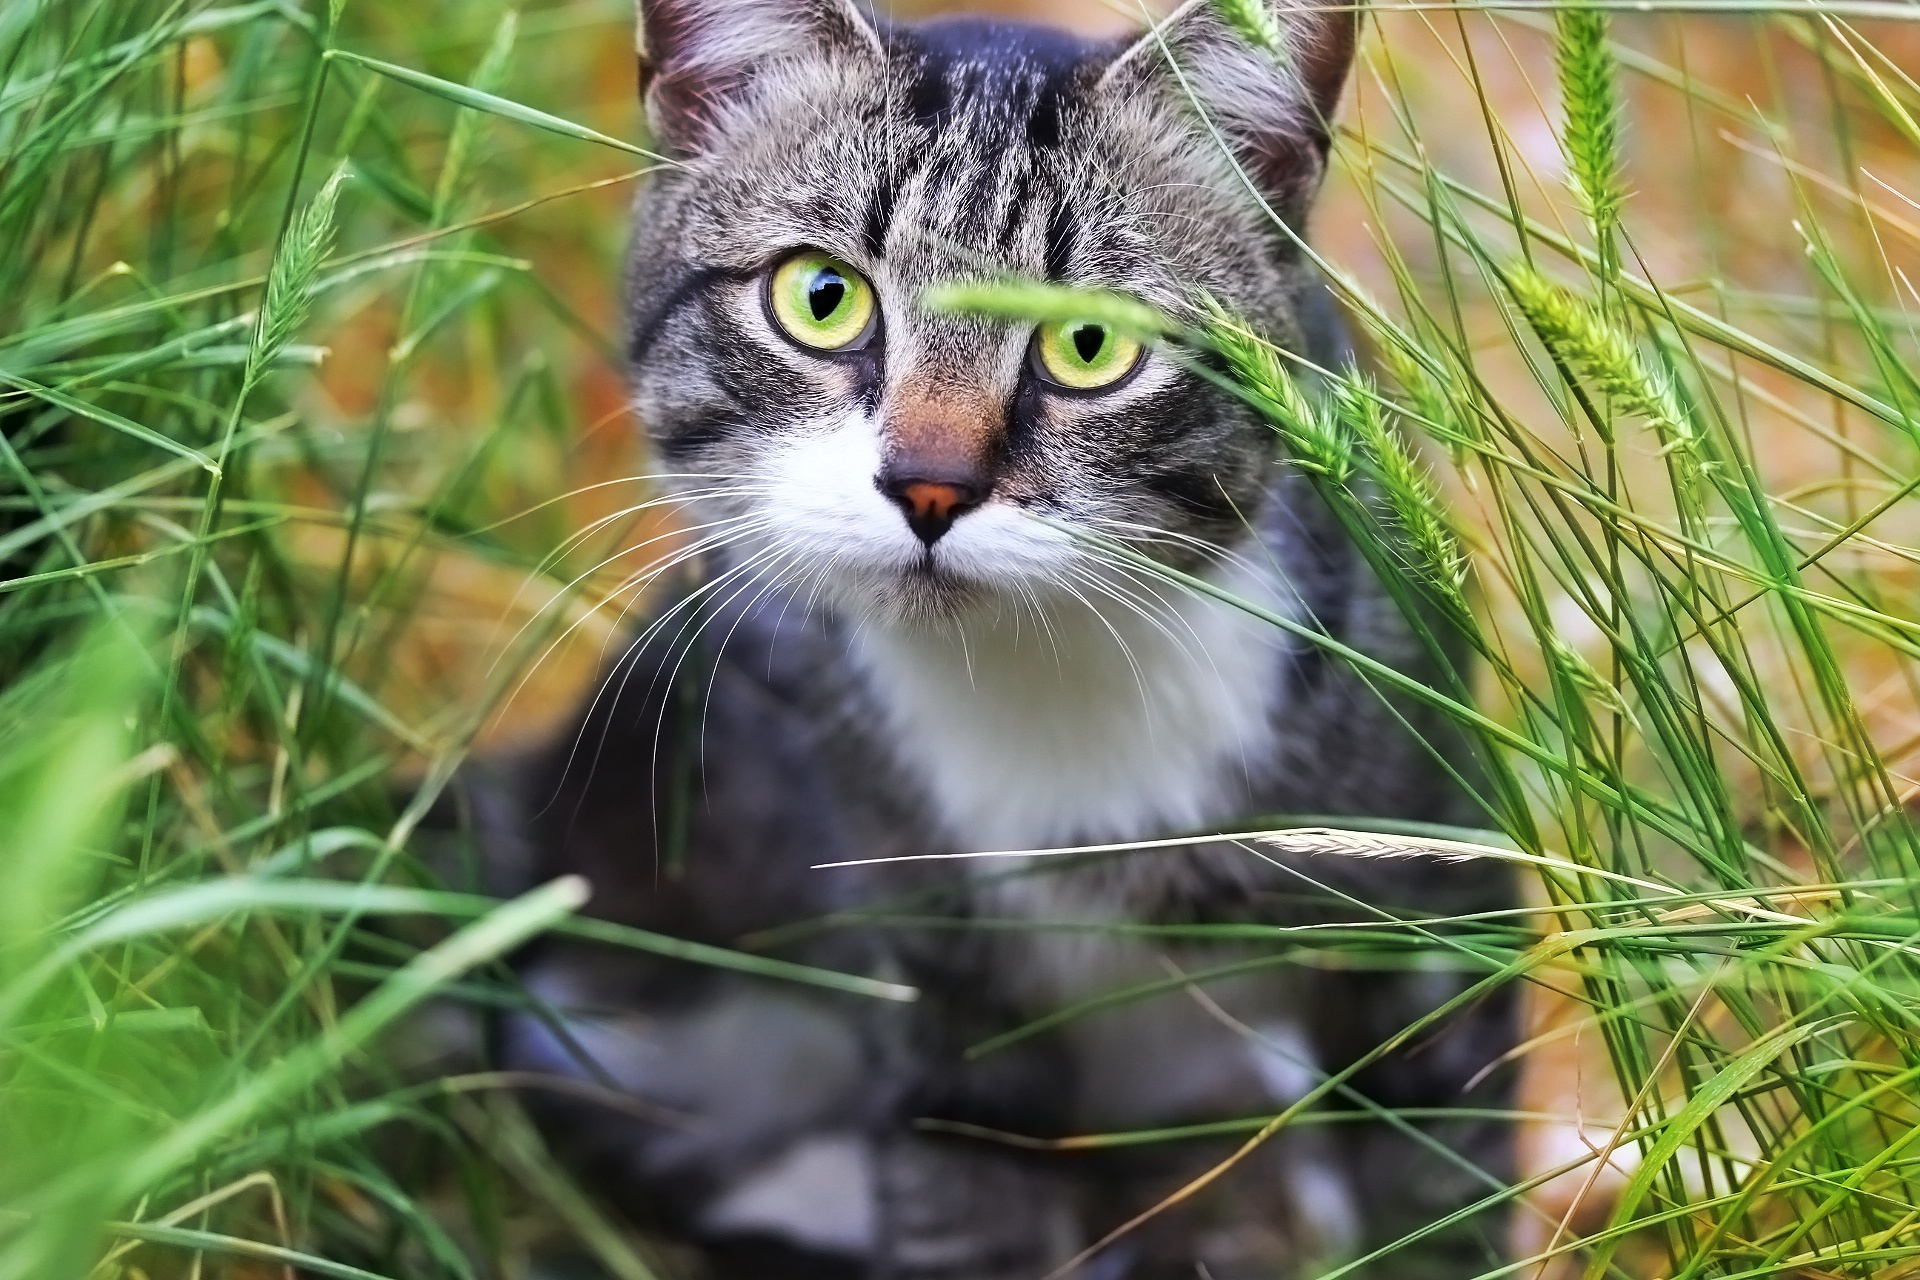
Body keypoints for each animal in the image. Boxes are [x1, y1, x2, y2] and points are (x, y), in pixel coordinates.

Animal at [487, 2, 1520, 1280]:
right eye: (821, 297)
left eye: (1091, 345)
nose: (930, 484)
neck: (1044, 683)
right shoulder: (928, 965)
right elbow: (964, 1186)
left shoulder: (1433, 904)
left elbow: (1438, 1175)